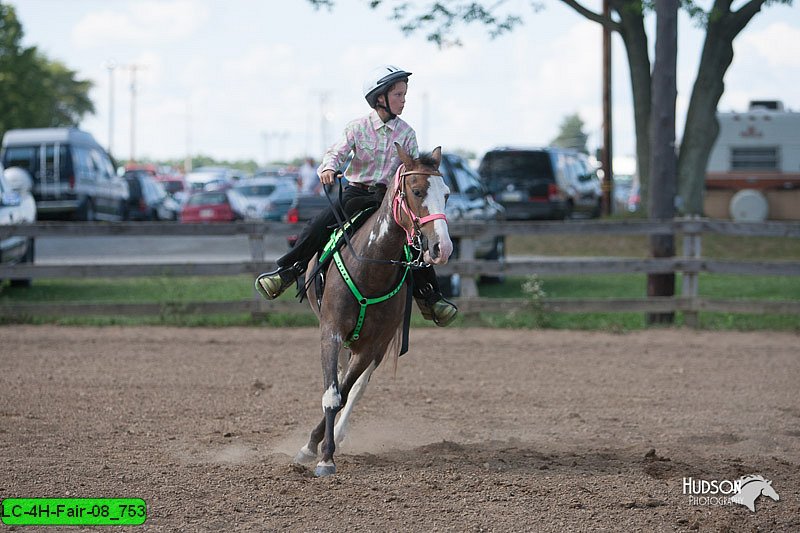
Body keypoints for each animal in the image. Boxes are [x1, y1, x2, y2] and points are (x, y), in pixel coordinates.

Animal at [292, 140, 454, 474]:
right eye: (417, 191)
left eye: (445, 194)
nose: (442, 248)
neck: (369, 266)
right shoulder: (330, 332)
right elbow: (331, 393)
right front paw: (315, 451)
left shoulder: (372, 345)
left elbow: (345, 392)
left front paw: (325, 452)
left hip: (377, 345)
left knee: (356, 386)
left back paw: (338, 434)